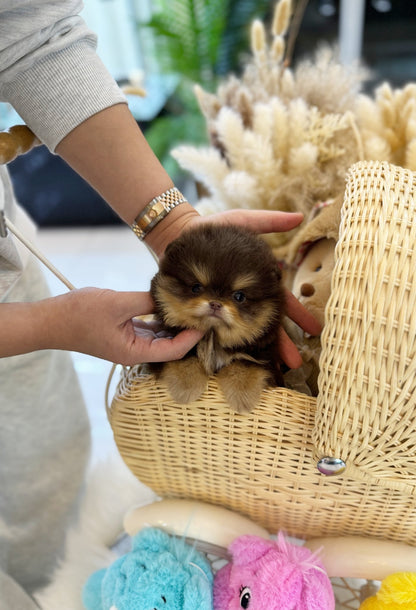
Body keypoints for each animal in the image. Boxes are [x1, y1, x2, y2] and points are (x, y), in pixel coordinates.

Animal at [150, 223, 286, 414]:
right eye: (196, 287)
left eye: (239, 296)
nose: (215, 304)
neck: (213, 336)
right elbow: (185, 356)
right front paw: (186, 388)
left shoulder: (264, 353)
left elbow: (243, 363)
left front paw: (242, 397)